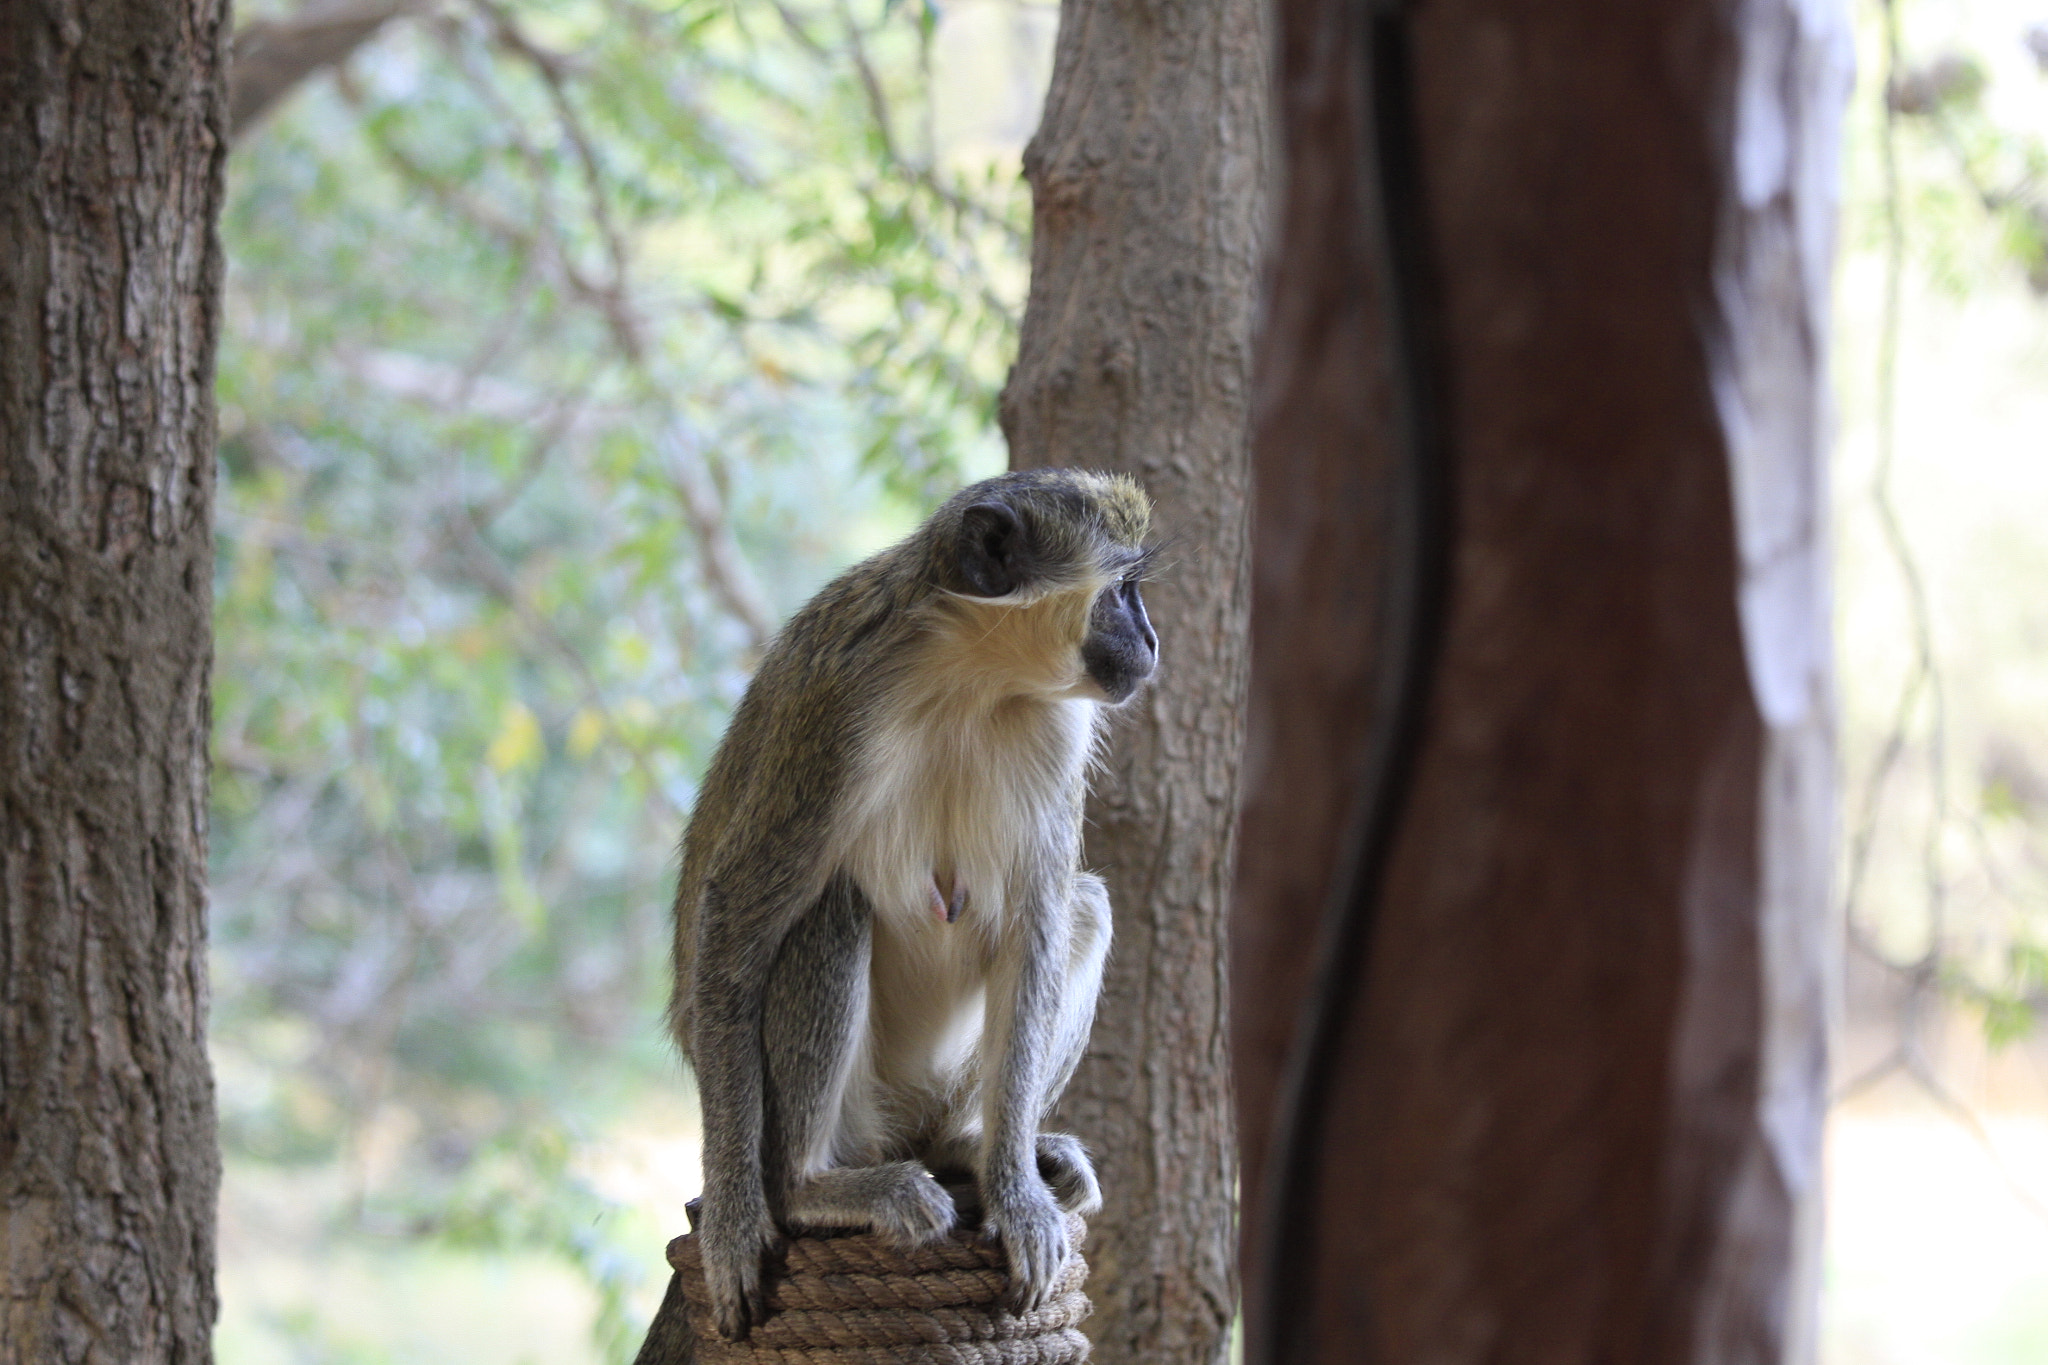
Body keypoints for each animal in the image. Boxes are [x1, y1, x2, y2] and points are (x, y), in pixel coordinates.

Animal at [667, 470, 1155, 1334]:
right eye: (1122, 591)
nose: (1153, 640)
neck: (972, 676)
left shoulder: (1059, 729)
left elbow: (1037, 926)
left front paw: (1016, 1195)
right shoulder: (834, 707)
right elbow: (734, 918)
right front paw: (732, 1218)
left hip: (939, 1091)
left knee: (1086, 905)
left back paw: (975, 1147)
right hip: (858, 1116)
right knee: (828, 911)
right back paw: (808, 1186)